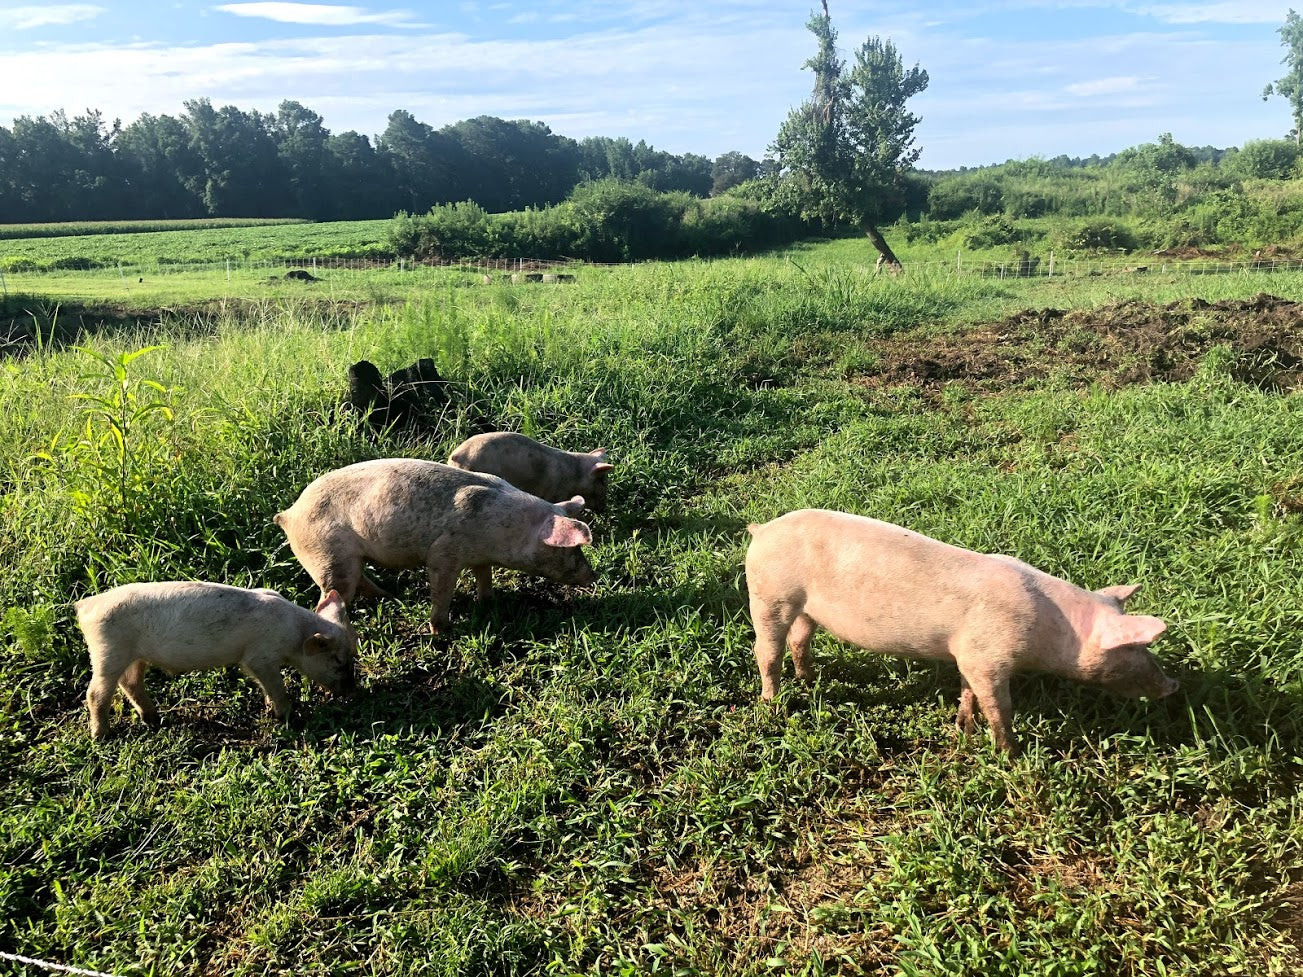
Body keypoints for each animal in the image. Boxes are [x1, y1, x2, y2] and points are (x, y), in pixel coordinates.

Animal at [76, 580, 362, 739]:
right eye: (338, 661)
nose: (353, 691)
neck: (294, 633)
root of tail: (86, 606)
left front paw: (271, 708)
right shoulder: (260, 655)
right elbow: (274, 685)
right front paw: (286, 715)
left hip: (133, 656)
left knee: (131, 683)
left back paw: (153, 719)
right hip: (108, 651)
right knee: (96, 693)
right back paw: (102, 737)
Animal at [277, 461, 601, 635]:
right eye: (571, 549)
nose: (594, 576)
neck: (505, 531)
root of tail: (289, 514)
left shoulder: (480, 556)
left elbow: (484, 576)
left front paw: (488, 602)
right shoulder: (444, 553)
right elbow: (442, 590)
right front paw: (441, 631)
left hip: (348, 558)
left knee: (361, 582)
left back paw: (390, 596)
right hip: (327, 555)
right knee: (332, 595)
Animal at [745, 513, 1183, 755]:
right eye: (1136, 647)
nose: (1174, 685)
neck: (1051, 632)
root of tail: (761, 530)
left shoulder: (968, 656)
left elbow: (968, 690)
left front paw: (963, 728)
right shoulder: (987, 656)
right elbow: (1000, 707)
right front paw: (1010, 754)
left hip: (805, 606)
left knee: (800, 639)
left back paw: (808, 680)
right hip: (770, 593)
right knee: (766, 650)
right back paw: (772, 705)